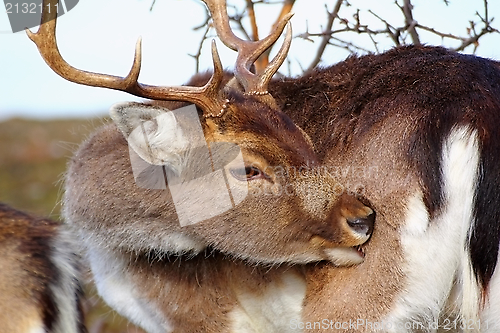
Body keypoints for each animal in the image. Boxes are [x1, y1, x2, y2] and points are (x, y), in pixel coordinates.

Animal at [27, 0, 500, 330]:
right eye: (248, 168)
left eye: (304, 138)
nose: (363, 218)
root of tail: (476, 113)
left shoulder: (201, 315)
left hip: (361, 303)